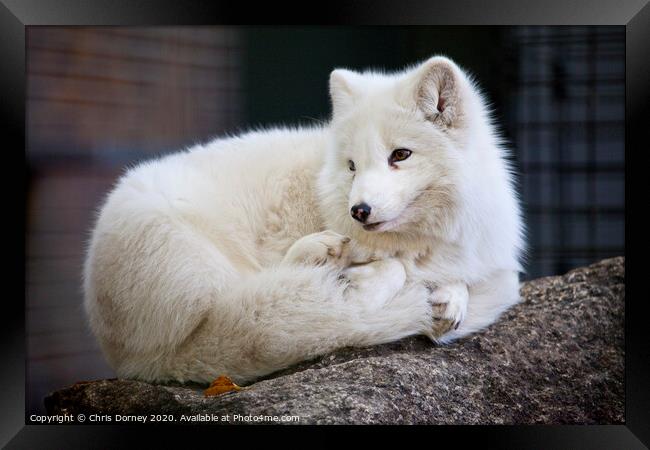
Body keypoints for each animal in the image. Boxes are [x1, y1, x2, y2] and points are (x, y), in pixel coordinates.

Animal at [83, 56, 524, 384]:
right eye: (351, 165)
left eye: (400, 155)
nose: (359, 211)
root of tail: (134, 361)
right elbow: (397, 269)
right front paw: (364, 282)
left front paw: (451, 297)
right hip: (195, 259)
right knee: (251, 300)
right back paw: (324, 261)